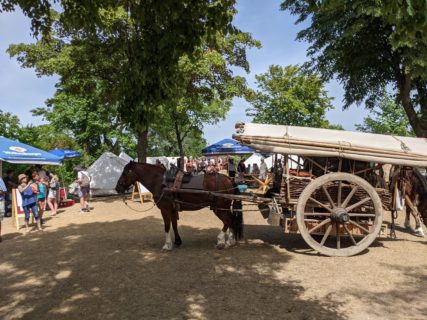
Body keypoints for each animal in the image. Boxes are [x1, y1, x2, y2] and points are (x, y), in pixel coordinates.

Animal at [115, 162, 244, 250]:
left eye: (125, 173)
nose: (117, 188)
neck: (160, 182)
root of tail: (229, 179)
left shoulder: (165, 209)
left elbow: (167, 226)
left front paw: (167, 245)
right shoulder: (172, 209)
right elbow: (174, 225)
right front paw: (177, 241)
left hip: (219, 207)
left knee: (228, 221)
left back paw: (221, 240)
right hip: (224, 207)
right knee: (231, 220)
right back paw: (230, 241)